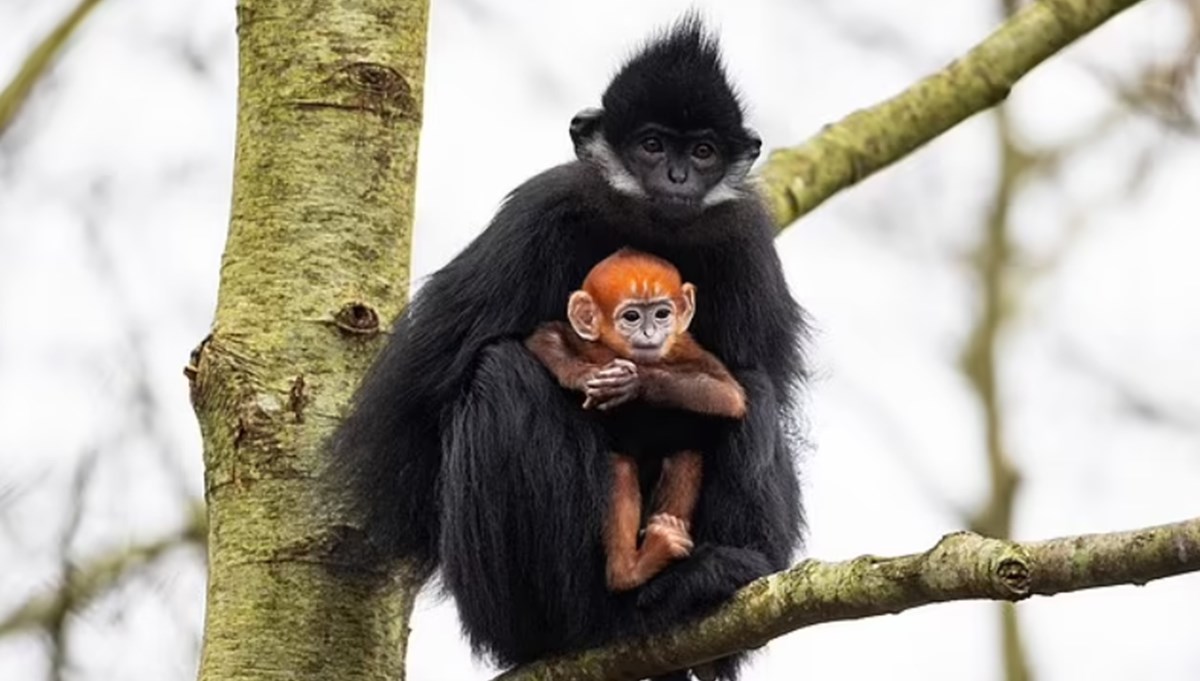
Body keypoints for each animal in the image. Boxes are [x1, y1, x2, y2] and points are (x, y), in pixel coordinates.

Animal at [528, 248, 744, 589]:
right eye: (632, 317)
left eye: (662, 314)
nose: (650, 333)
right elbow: (544, 338)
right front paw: (585, 376)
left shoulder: (684, 345)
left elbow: (728, 394)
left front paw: (636, 382)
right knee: (620, 466)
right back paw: (627, 572)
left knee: (684, 447)